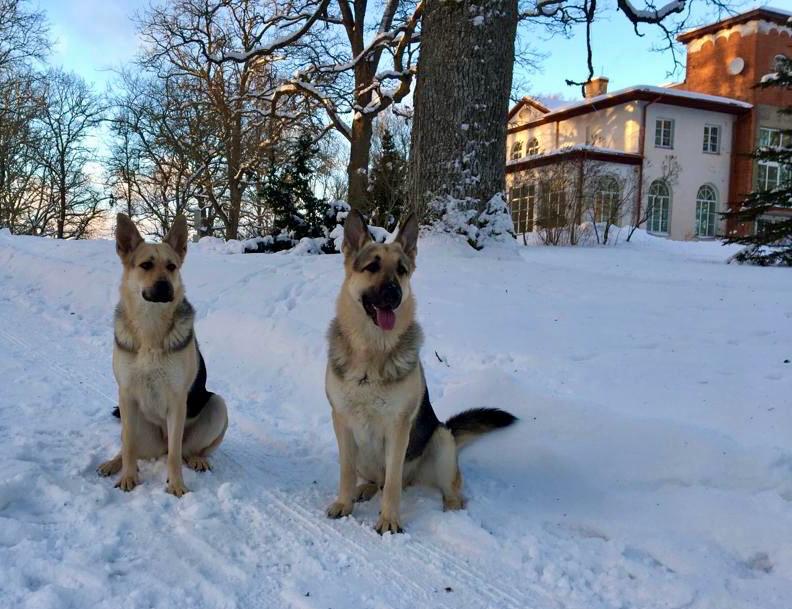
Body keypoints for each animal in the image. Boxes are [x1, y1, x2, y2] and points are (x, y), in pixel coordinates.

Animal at [97, 213, 228, 496]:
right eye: (146, 265)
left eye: (171, 266)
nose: (165, 286)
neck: (151, 328)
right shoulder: (126, 393)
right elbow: (128, 447)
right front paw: (127, 477)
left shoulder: (177, 400)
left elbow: (175, 455)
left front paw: (176, 485)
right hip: (134, 421)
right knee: (129, 447)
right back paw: (114, 463)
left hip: (218, 405)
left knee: (185, 450)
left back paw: (197, 459)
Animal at [325, 209, 517, 533]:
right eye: (372, 266)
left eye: (402, 270)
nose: (394, 293)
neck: (372, 352)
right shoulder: (342, 423)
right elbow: (346, 472)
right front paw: (344, 502)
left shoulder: (398, 427)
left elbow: (391, 483)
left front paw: (389, 520)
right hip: (364, 453)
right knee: (375, 479)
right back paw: (364, 489)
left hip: (441, 441)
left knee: (442, 487)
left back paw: (451, 511)